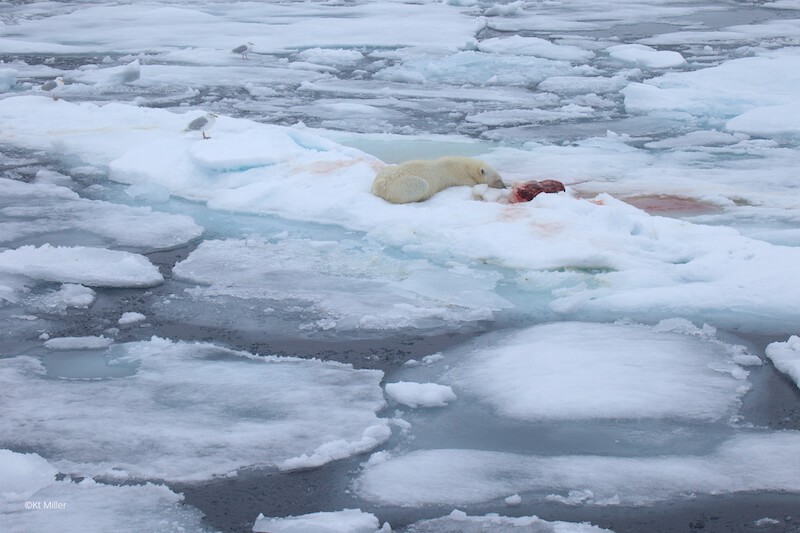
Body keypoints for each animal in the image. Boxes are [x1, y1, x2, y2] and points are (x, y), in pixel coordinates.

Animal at [370, 156, 505, 204]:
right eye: (498, 180)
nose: (504, 186)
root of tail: (378, 188)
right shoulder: (458, 176)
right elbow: (470, 182)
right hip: (401, 184)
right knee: (422, 185)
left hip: (385, 172)